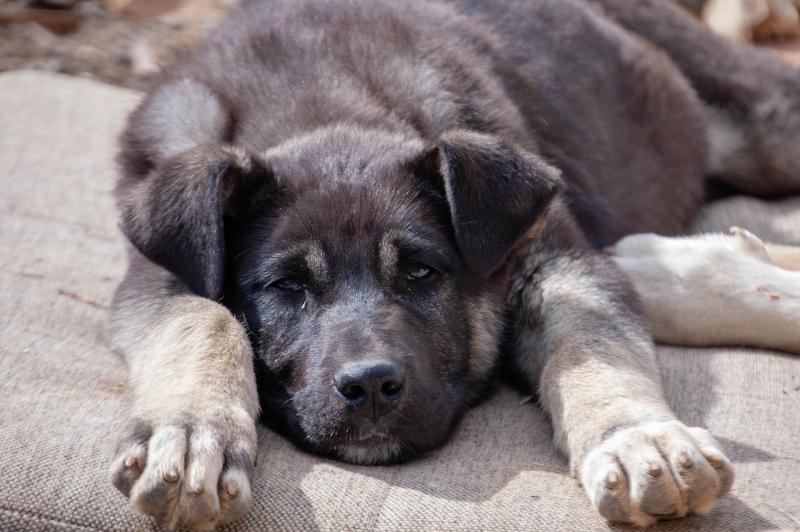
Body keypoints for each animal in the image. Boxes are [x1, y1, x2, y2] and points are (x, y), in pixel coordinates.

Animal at [108, 0, 800, 528]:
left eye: (421, 272)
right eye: (286, 286)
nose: (369, 387)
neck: (324, 104)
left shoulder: (556, 260)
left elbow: (593, 346)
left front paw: (635, 436)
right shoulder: (162, 268)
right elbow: (203, 320)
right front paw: (190, 433)